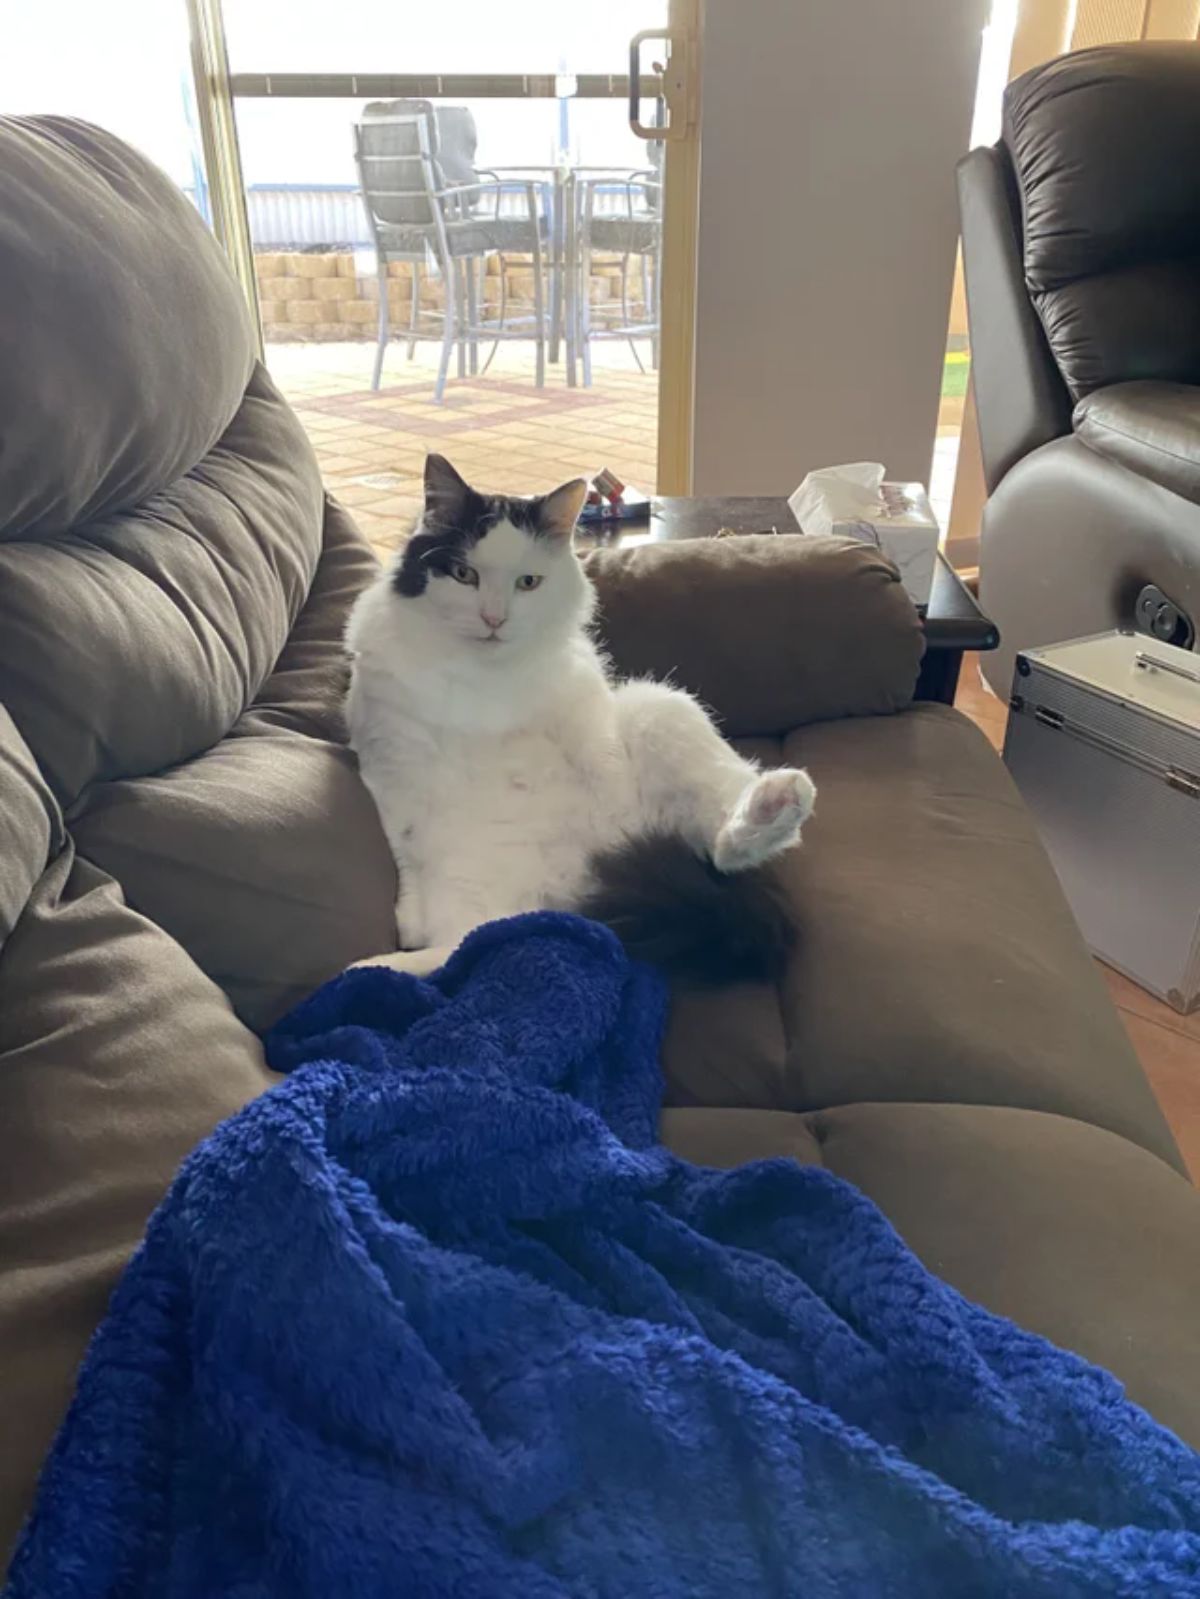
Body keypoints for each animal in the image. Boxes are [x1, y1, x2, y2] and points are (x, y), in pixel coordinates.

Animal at [347, 450, 819, 972]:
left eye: (528, 583)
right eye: (465, 575)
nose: (494, 619)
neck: (483, 679)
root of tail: (573, 901)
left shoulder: (584, 706)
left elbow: (603, 767)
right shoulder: (391, 760)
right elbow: (406, 850)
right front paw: (406, 918)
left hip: (659, 706)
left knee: (725, 843)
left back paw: (775, 803)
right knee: (462, 944)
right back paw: (373, 967)